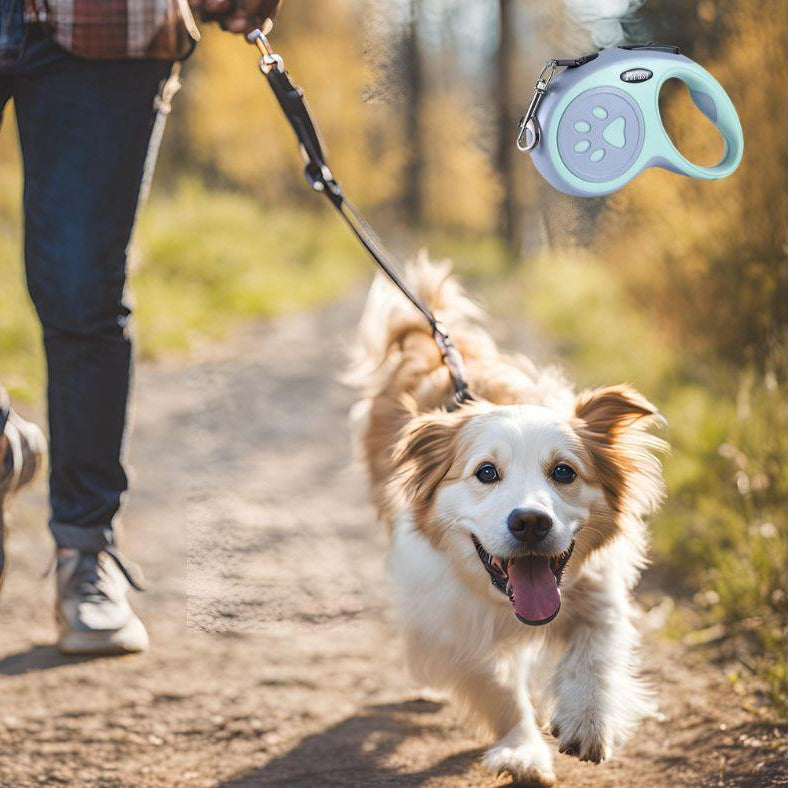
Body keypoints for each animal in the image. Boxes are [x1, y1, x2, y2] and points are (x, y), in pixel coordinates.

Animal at [348, 258, 668, 780]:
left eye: (564, 471)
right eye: (485, 472)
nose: (531, 522)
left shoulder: (599, 591)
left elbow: (596, 651)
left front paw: (588, 719)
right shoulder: (451, 621)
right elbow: (496, 686)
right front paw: (522, 750)